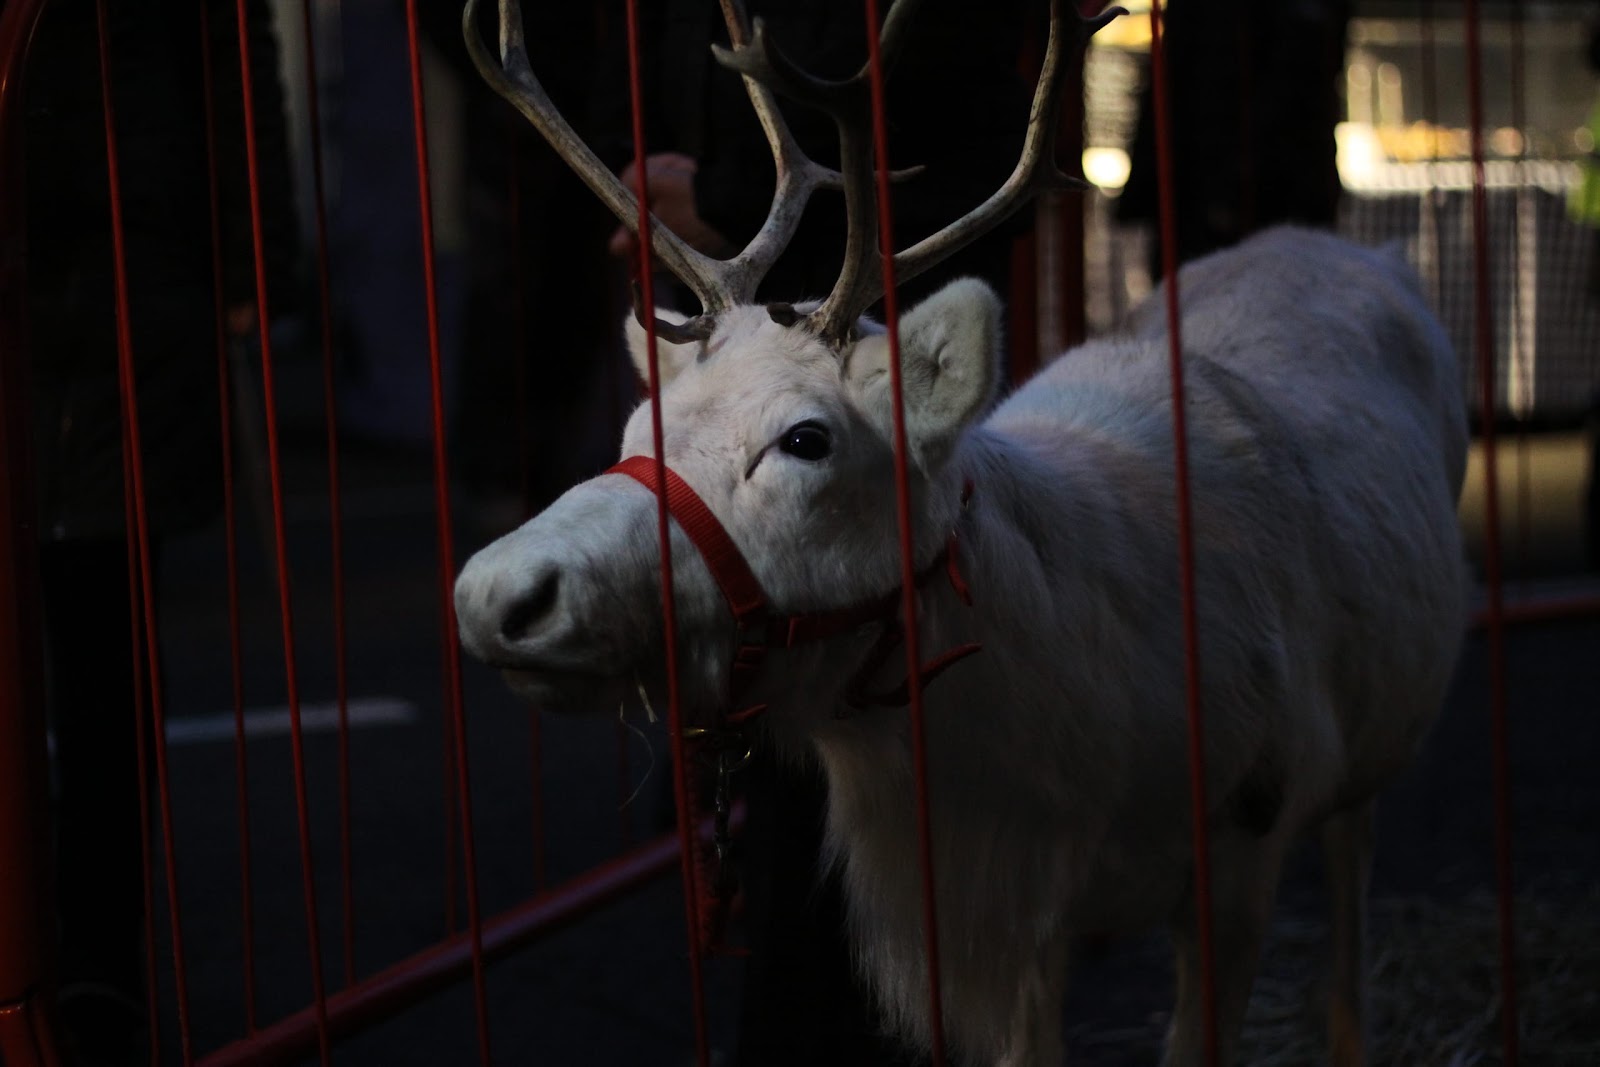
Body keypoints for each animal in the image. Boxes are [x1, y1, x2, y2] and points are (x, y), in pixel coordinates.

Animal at [454, 1, 1468, 1064]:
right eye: (634, 429)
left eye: (806, 438)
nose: (497, 591)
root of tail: (1369, 249)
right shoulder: (1009, 934)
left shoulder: (1245, 835)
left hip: (1365, 750)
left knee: (1353, 874)